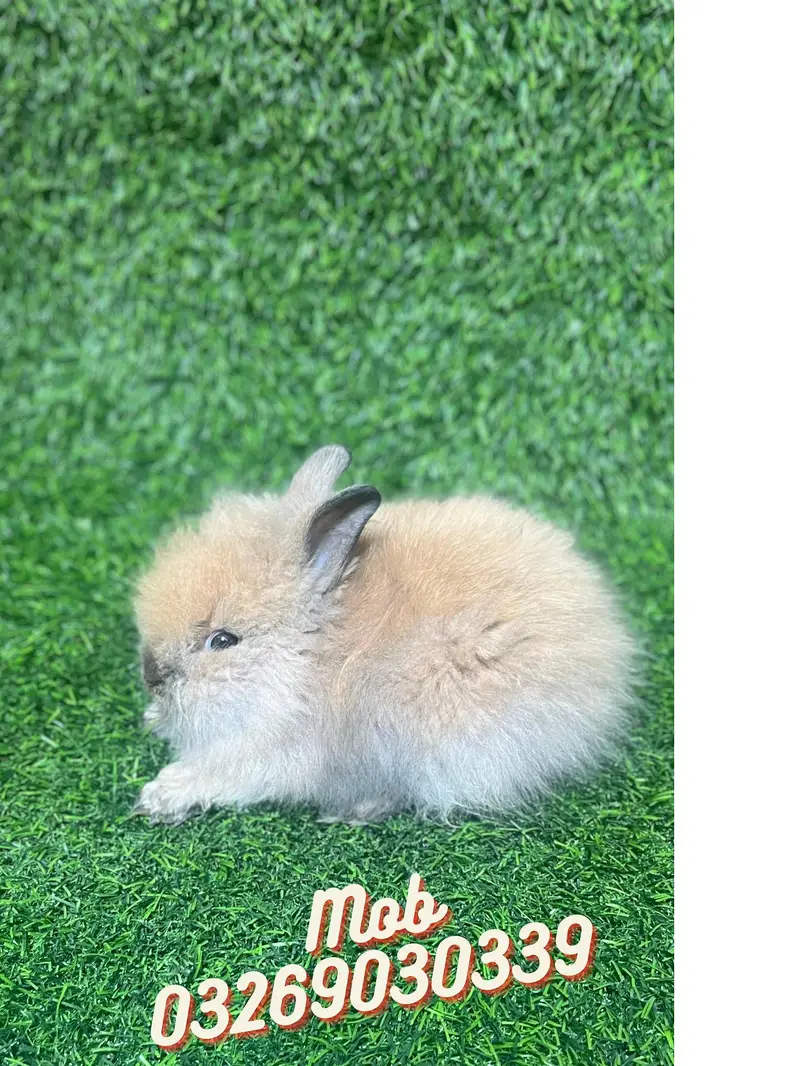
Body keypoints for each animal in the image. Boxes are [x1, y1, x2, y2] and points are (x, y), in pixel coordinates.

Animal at [132, 444, 635, 826]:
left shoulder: (276, 753)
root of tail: (605, 639)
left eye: (223, 640)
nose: (151, 674)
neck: (311, 653)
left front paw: (159, 795)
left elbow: (221, 775)